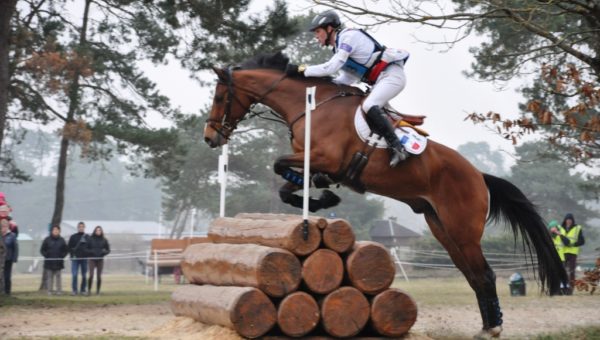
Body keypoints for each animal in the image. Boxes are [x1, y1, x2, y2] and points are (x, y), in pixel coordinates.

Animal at [203, 51, 568, 336]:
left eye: (220, 98)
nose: (210, 138)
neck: (311, 106)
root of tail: (479, 176)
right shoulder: (307, 160)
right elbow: (285, 185)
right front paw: (322, 199)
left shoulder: (324, 157)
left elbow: (281, 165)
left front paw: (324, 196)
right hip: (441, 228)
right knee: (473, 275)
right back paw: (486, 325)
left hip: (462, 229)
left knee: (486, 274)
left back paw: (494, 327)